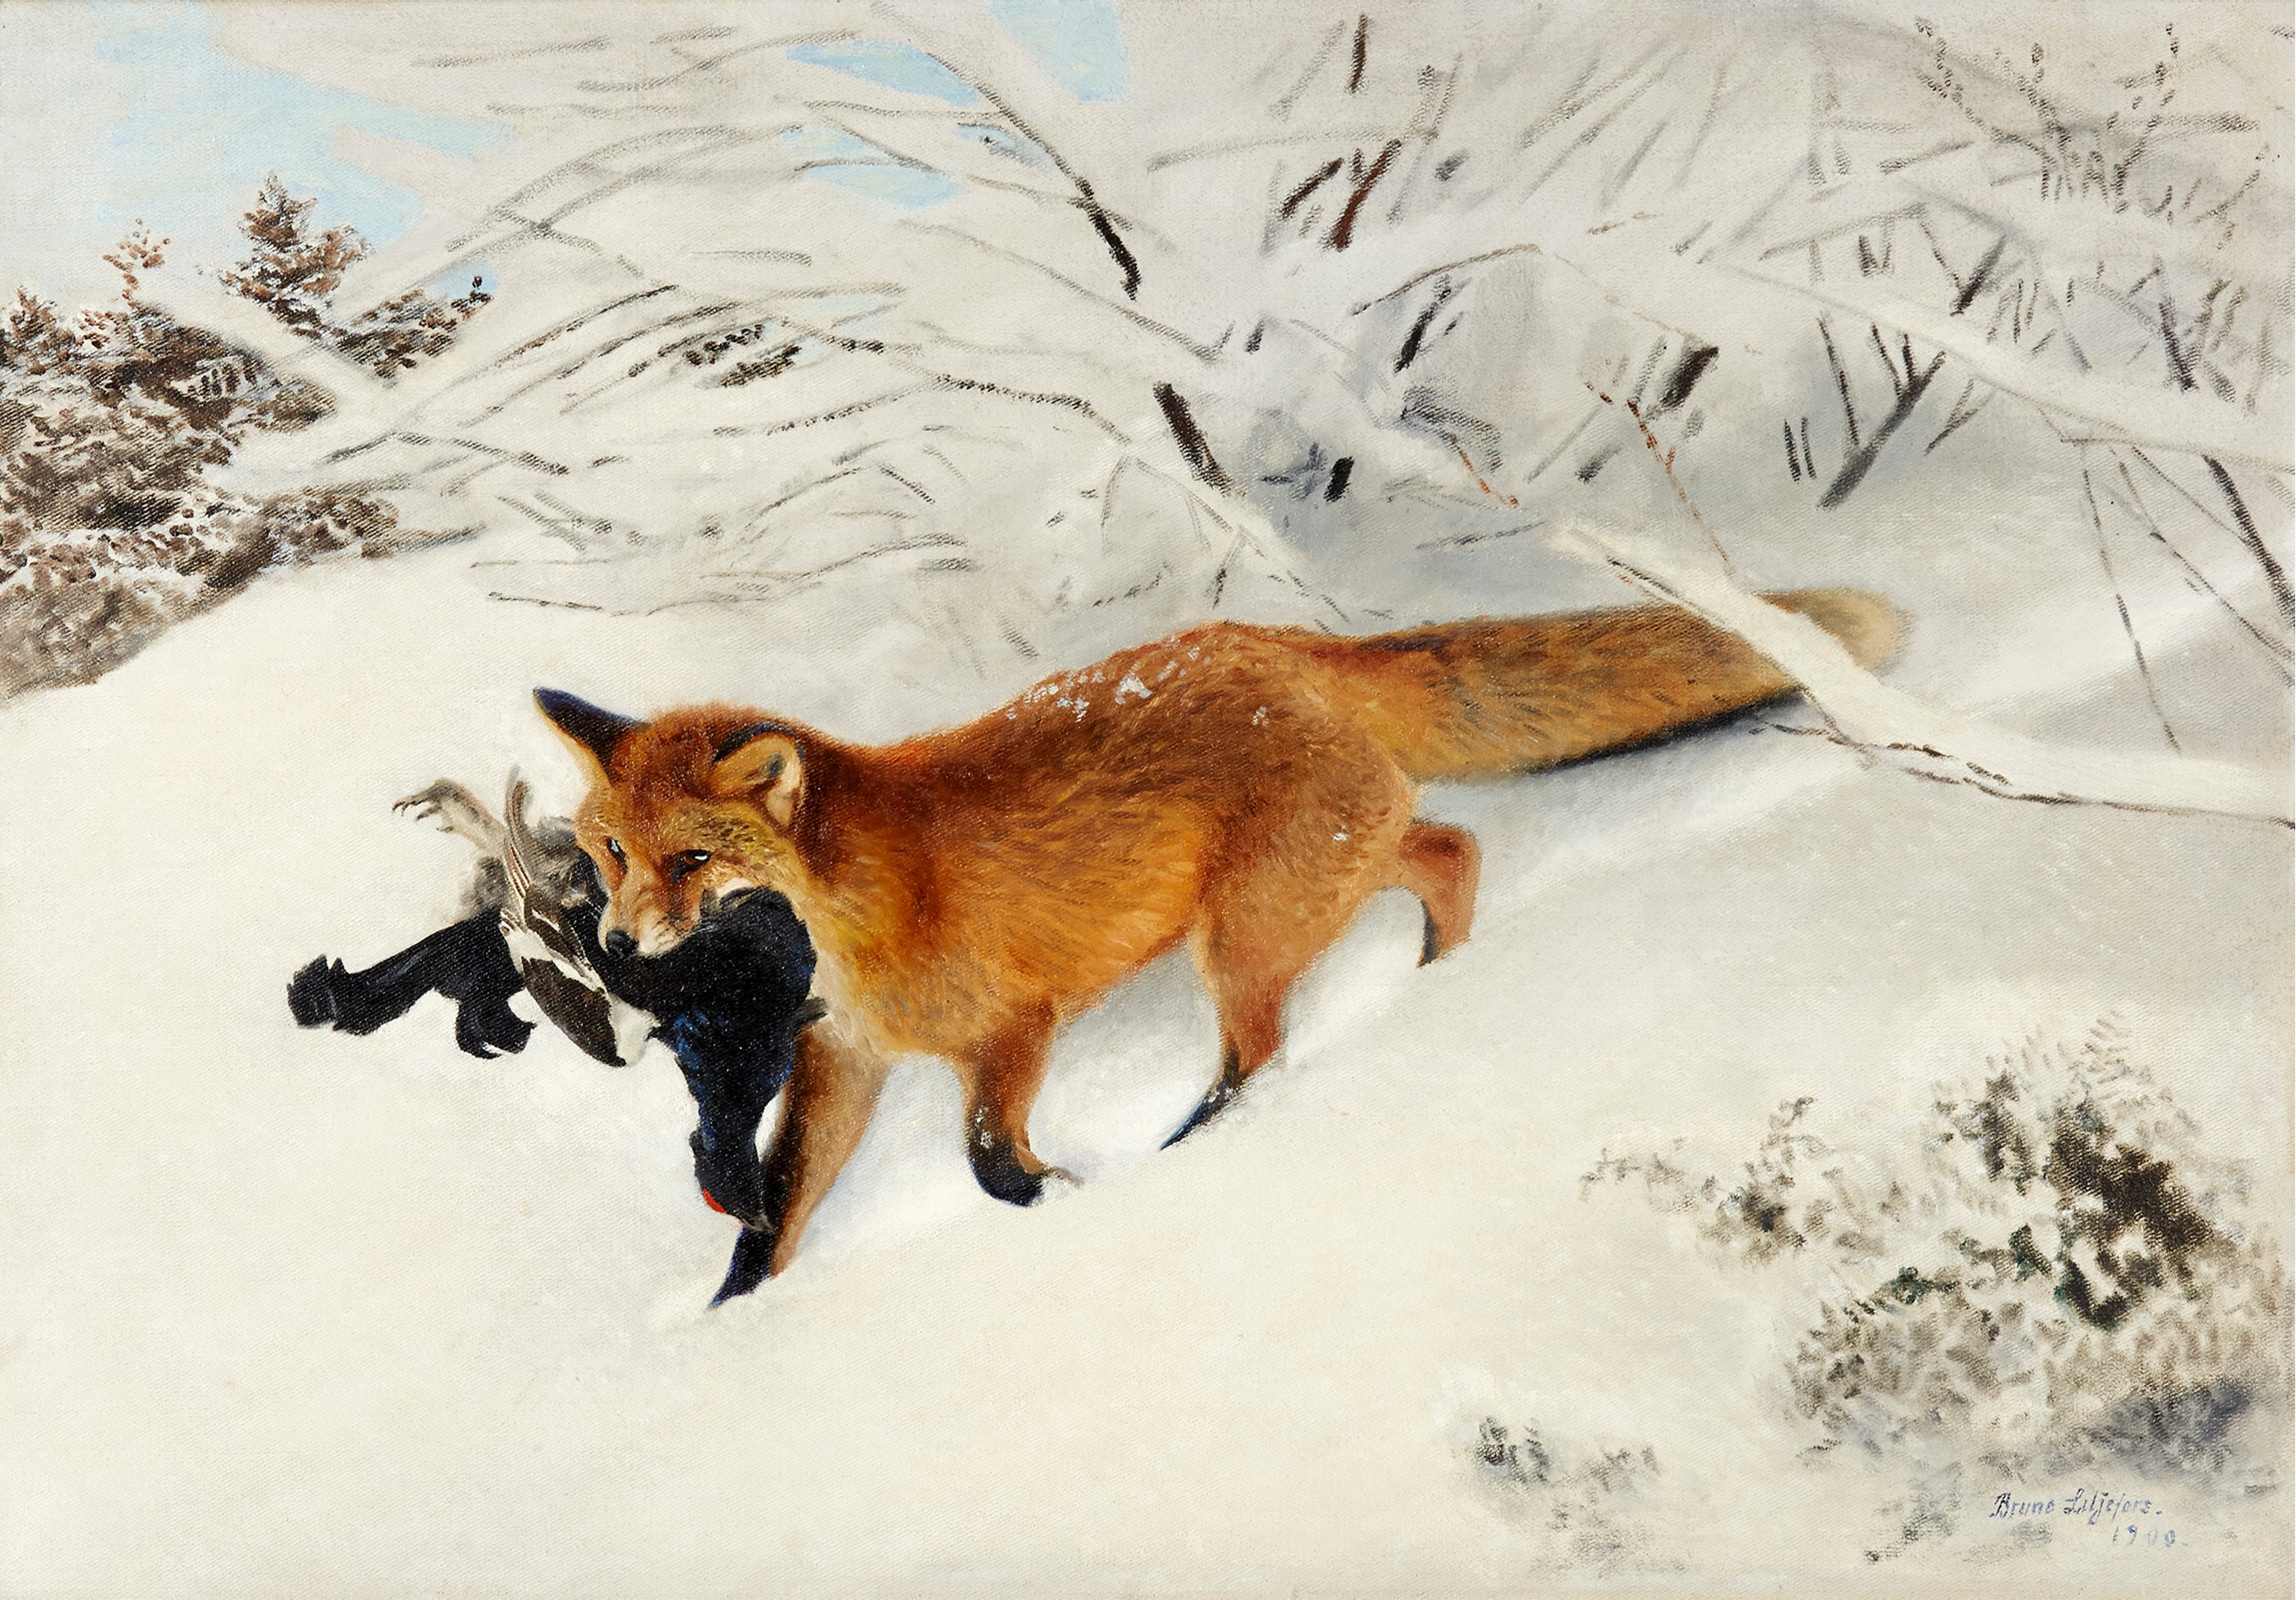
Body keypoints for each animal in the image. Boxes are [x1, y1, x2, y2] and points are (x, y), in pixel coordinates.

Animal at [537, 586, 1901, 1280]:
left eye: (692, 861)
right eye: (610, 854)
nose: (621, 948)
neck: (860, 901)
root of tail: (1282, 644)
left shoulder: (1016, 1027)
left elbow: (986, 1161)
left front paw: (1066, 1198)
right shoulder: (844, 1058)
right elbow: (776, 1212)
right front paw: (730, 1324)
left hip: (1243, 937)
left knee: (1263, 1055)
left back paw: (1198, 1148)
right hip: (1319, 880)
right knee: (1452, 850)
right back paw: (1437, 984)